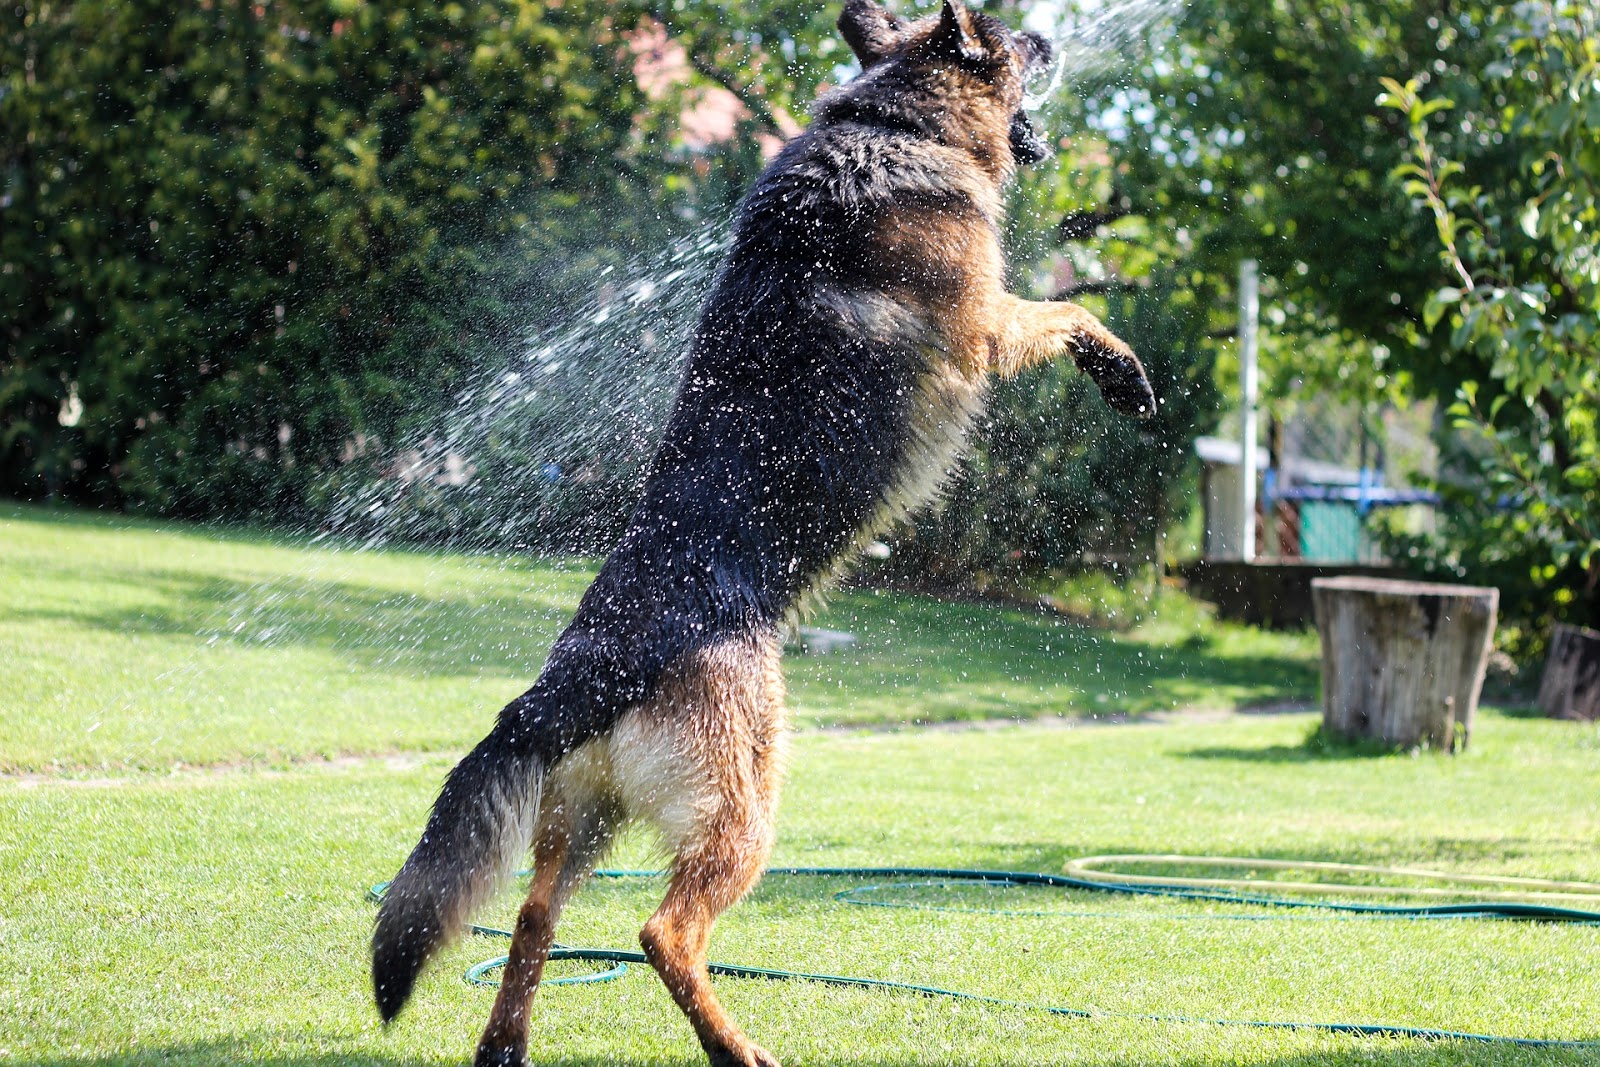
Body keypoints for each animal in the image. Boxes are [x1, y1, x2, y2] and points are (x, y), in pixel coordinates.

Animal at [374, 4, 1152, 1062]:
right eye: (1007, 40)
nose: (1050, 33)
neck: (895, 122)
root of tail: (582, 672)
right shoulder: (984, 322)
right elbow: (1070, 307)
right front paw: (1123, 370)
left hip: (586, 814)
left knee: (535, 915)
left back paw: (507, 1045)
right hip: (743, 799)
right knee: (661, 929)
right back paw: (732, 1044)